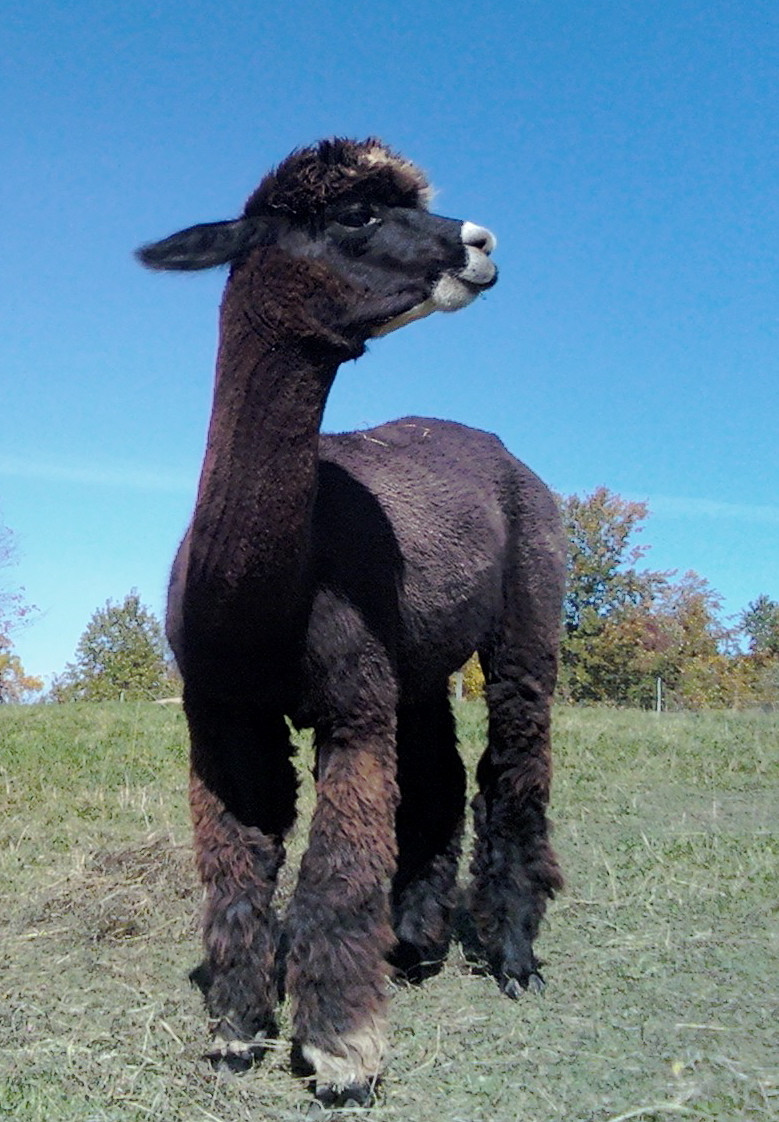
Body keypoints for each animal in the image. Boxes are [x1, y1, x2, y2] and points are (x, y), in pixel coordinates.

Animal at [137, 137, 565, 1107]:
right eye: (357, 215)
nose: (481, 242)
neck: (259, 601)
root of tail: (499, 450)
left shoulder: (350, 701)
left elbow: (334, 872)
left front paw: (341, 1055)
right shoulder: (221, 715)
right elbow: (237, 864)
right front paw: (235, 1029)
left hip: (529, 604)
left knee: (514, 768)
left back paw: (514, 956)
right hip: (418, 652)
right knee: (441, 774)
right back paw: (413, 944)